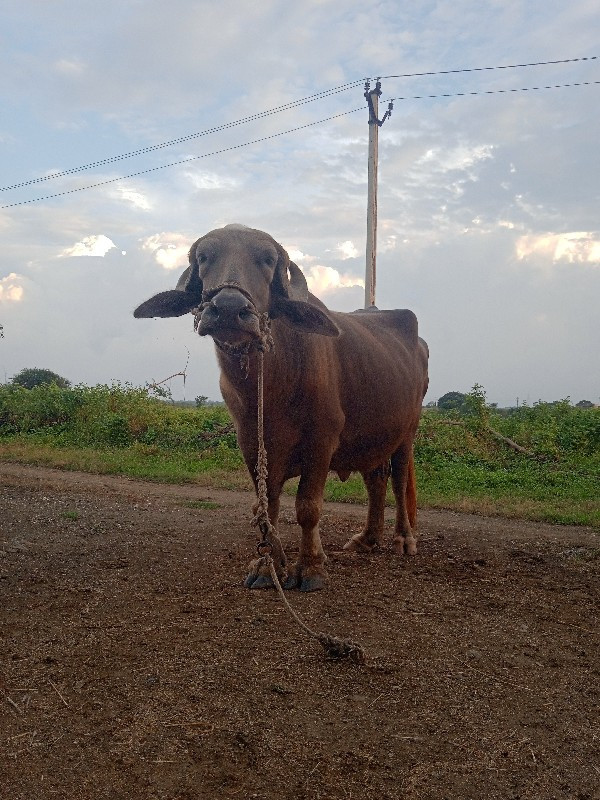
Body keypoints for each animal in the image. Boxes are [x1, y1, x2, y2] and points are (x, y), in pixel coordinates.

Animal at [134, 223, 428, 588]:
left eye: (268, 259)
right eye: (203, 257)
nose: (228, 308)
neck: (273, 387)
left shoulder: (322, 440)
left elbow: (308, 507)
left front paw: (311, 568)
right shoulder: (251, 443)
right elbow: (267, 506)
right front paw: (266, 566)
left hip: (407, 433)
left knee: (399, 480)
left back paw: (404, 539)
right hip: (371, 436)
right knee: (376, 478)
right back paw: (366, 539)